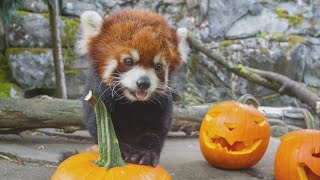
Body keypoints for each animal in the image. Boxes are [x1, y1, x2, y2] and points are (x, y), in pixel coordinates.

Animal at [79, 8, 188, 166]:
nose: (143, 83)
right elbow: (98, 124)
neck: (132, 102)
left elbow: (157, 128)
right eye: (128, 61)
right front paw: (119, 150)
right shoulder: (98, 94)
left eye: (158, 66)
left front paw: (144, 153)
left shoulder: (161, 102)